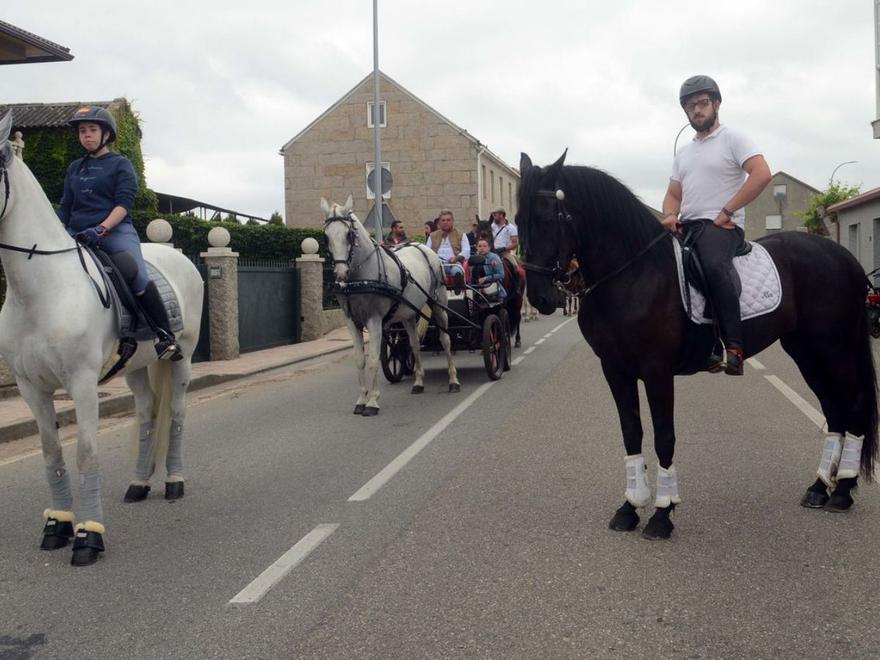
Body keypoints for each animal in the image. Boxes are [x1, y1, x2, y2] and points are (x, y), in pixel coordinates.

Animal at [0, 111, 205, 564]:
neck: (40, 288)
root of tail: (178, 256)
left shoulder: (81, 383)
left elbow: (85, 454)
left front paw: (88, 536)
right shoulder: (30, 387)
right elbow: (53, 452)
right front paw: (57, 525)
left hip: (180, 359)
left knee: (177, 414)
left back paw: (174, 481)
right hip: (137, 368)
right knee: (147, 414)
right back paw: (139, 484)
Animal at [324, 193, 460, 418]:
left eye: (349, 235)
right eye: (326, 236)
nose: (341, 274)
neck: (360, 278)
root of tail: (423, 247)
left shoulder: (375, 320)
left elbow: (373, 359)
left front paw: (372, 402)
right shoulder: (352, 321)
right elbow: (360, 359)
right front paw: (361, 400)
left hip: (439, 303)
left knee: (446, 340)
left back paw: (453, 380)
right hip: (408, 314)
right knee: (414, 344)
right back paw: (418, 382)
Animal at [474, 219, 524, 348]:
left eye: (488, 231)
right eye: (476, 232)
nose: (479, 248)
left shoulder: (502, 301)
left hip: (518, 299)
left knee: (517, 316)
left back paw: (517, 340)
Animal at [520, 152, 876, 540]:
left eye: (546, 217)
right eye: (518, 219)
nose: (540, 298)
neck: (632, 274)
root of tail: (844, 257)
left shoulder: (657, 370)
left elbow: (664, 437)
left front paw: (662, 514)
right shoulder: (615, 369)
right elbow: (631, 433)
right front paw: (630, 508)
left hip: (835, 348)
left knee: (854, 405)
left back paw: (842, 490)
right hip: (806, 351)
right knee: (834, 409)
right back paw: (819, 487)